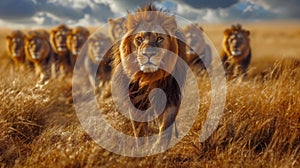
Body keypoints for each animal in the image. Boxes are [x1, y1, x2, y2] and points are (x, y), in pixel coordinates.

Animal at [110, 4, 186, 148]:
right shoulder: (135, 98)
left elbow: (166, 125)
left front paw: (159, 147)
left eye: (159, 38)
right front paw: (142, 148)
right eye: (139, 39)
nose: (148, 54)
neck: (149, 77)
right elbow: (139, 129)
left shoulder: (171, 94)